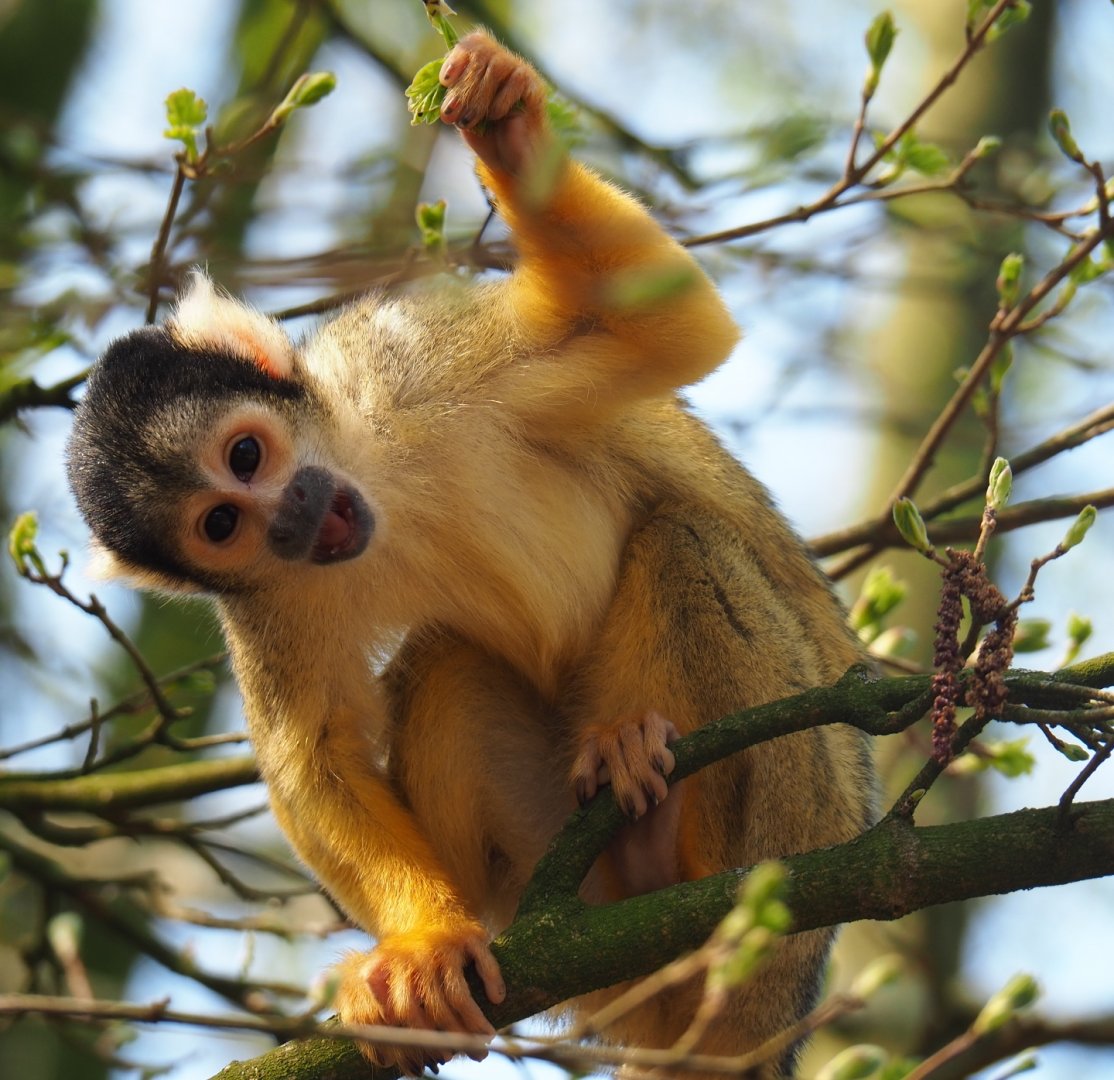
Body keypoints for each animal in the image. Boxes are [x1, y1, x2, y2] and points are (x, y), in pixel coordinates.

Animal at [66, 29, 875, 1078]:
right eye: (221, 524)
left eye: (246, 454)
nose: (294, 516)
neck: (366, 461)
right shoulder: (261, 597)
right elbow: (318, 750)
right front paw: (423, 945)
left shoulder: (414, 356)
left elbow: (663, 326)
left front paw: (504, 122)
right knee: (445, 661)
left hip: (806, 815)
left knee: (684, 542)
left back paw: (686, 867)